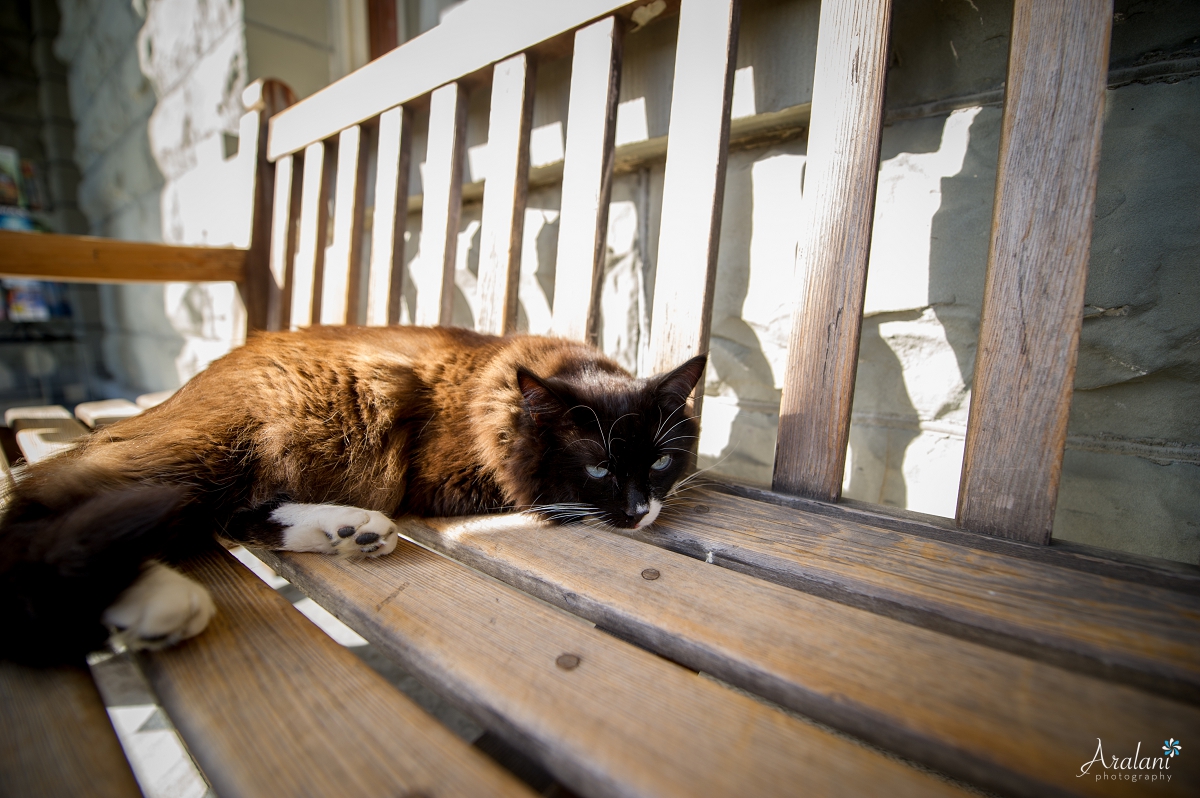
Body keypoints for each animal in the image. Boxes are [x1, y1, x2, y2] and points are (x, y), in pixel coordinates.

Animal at [0, 324, 700, 667]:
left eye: (662, 460)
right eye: (600, 470)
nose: (639, 511)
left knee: (239, 510)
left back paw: (347, 533)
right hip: (283, 417)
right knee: (45, 510)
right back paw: (155, 603)